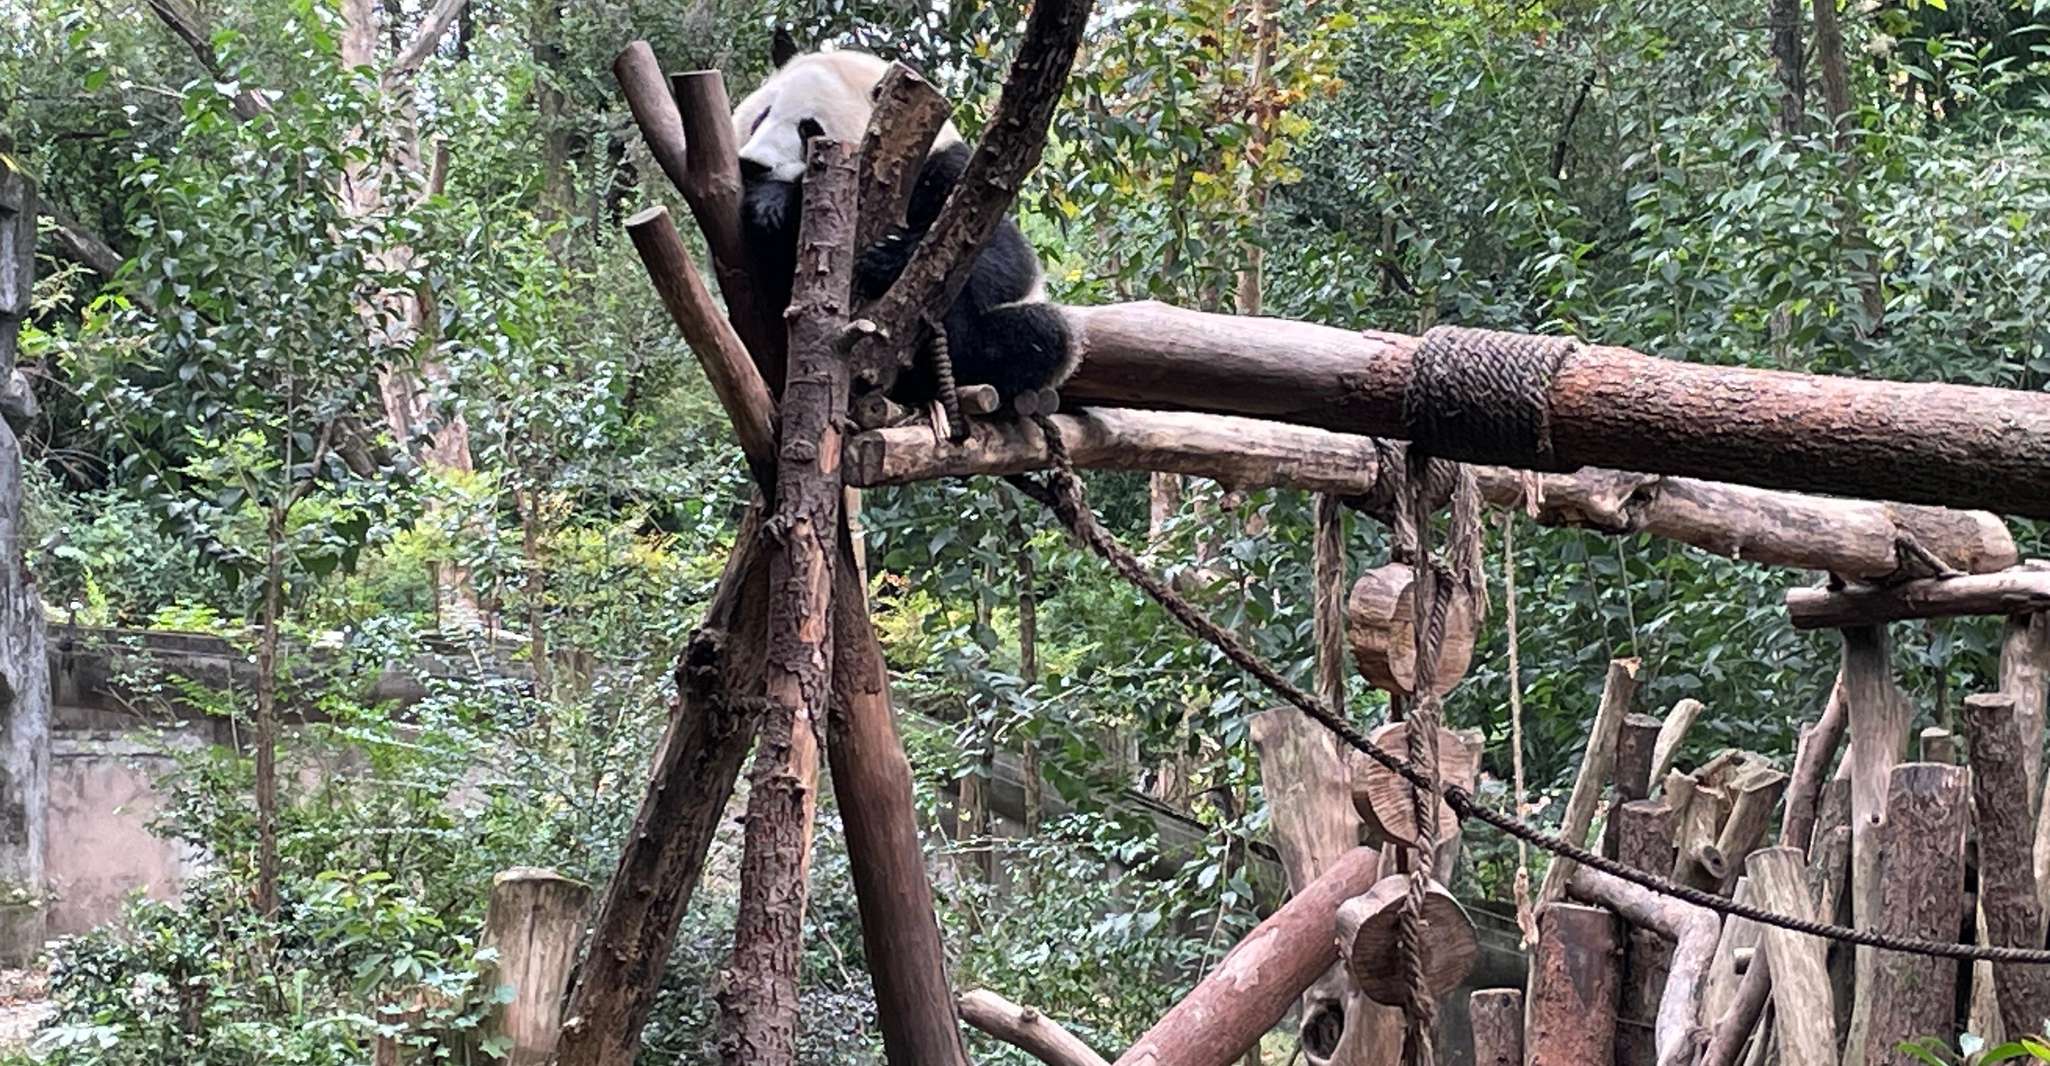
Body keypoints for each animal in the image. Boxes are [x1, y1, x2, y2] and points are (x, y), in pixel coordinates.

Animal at [731, 41, 1077, 410]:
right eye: (761, 117)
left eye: (808, 129)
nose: (753, 164)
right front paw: (770, 204)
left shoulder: (954, 173)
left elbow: (1005, 261)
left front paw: (887, 260)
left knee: (1040, 338)